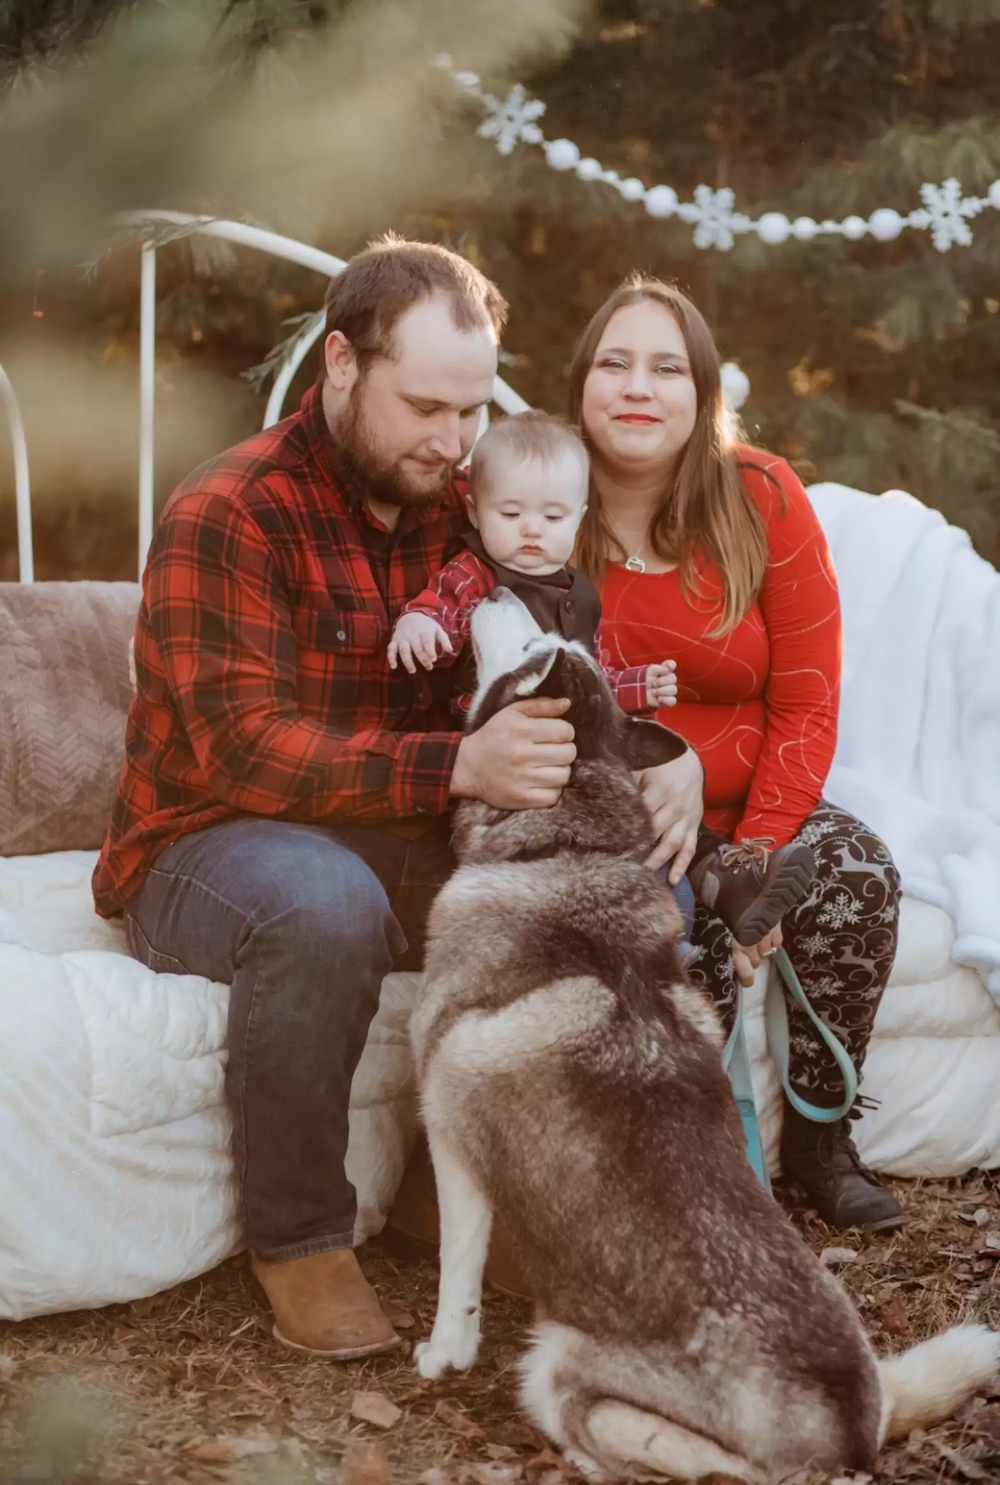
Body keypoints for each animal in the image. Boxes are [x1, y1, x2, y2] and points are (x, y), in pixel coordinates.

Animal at [409, 588, 999, 1483]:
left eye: (533, 652)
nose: (509, 589)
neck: (565, 847)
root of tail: (853, 1422)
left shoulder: (451, 1134)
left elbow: (456, 1274)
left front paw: (444, 1353)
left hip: (557, 1368)